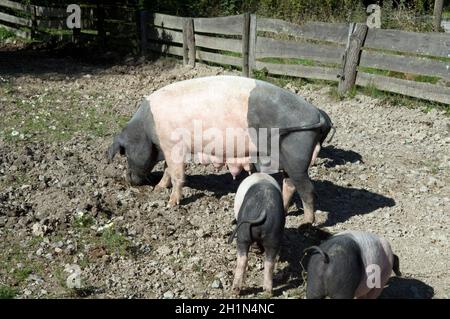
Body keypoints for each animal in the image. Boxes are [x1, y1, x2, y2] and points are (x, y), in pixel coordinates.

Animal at [107, 75, 332, 225]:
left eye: (124, 152)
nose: (128, 180)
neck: (147, 129)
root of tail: (318, 114)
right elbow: (168, 170)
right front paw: (159, 188)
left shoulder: (173, 145)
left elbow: (178, 174)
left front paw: (170, 204)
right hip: (286, 158)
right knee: (289, 184)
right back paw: (285, 211)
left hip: (297, 156)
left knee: (307, 189)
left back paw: (307, 223)